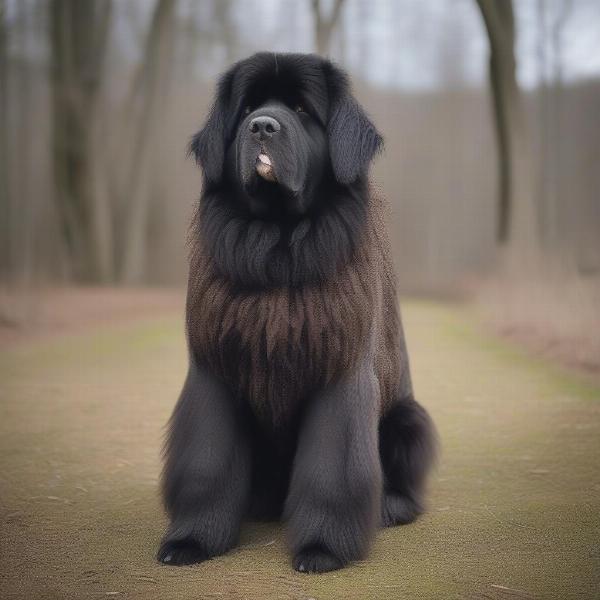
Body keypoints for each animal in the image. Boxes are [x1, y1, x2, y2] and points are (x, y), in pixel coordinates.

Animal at [157, 54, 434, 576]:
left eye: (303, 110)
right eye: (248, 108)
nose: (262, 126)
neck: (279, 245)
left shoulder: (339, 373)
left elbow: (330, 468)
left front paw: (322, 548)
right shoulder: (214, 368)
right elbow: (206, 458)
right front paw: (191, 540)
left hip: (409, 419)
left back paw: (389, 507)